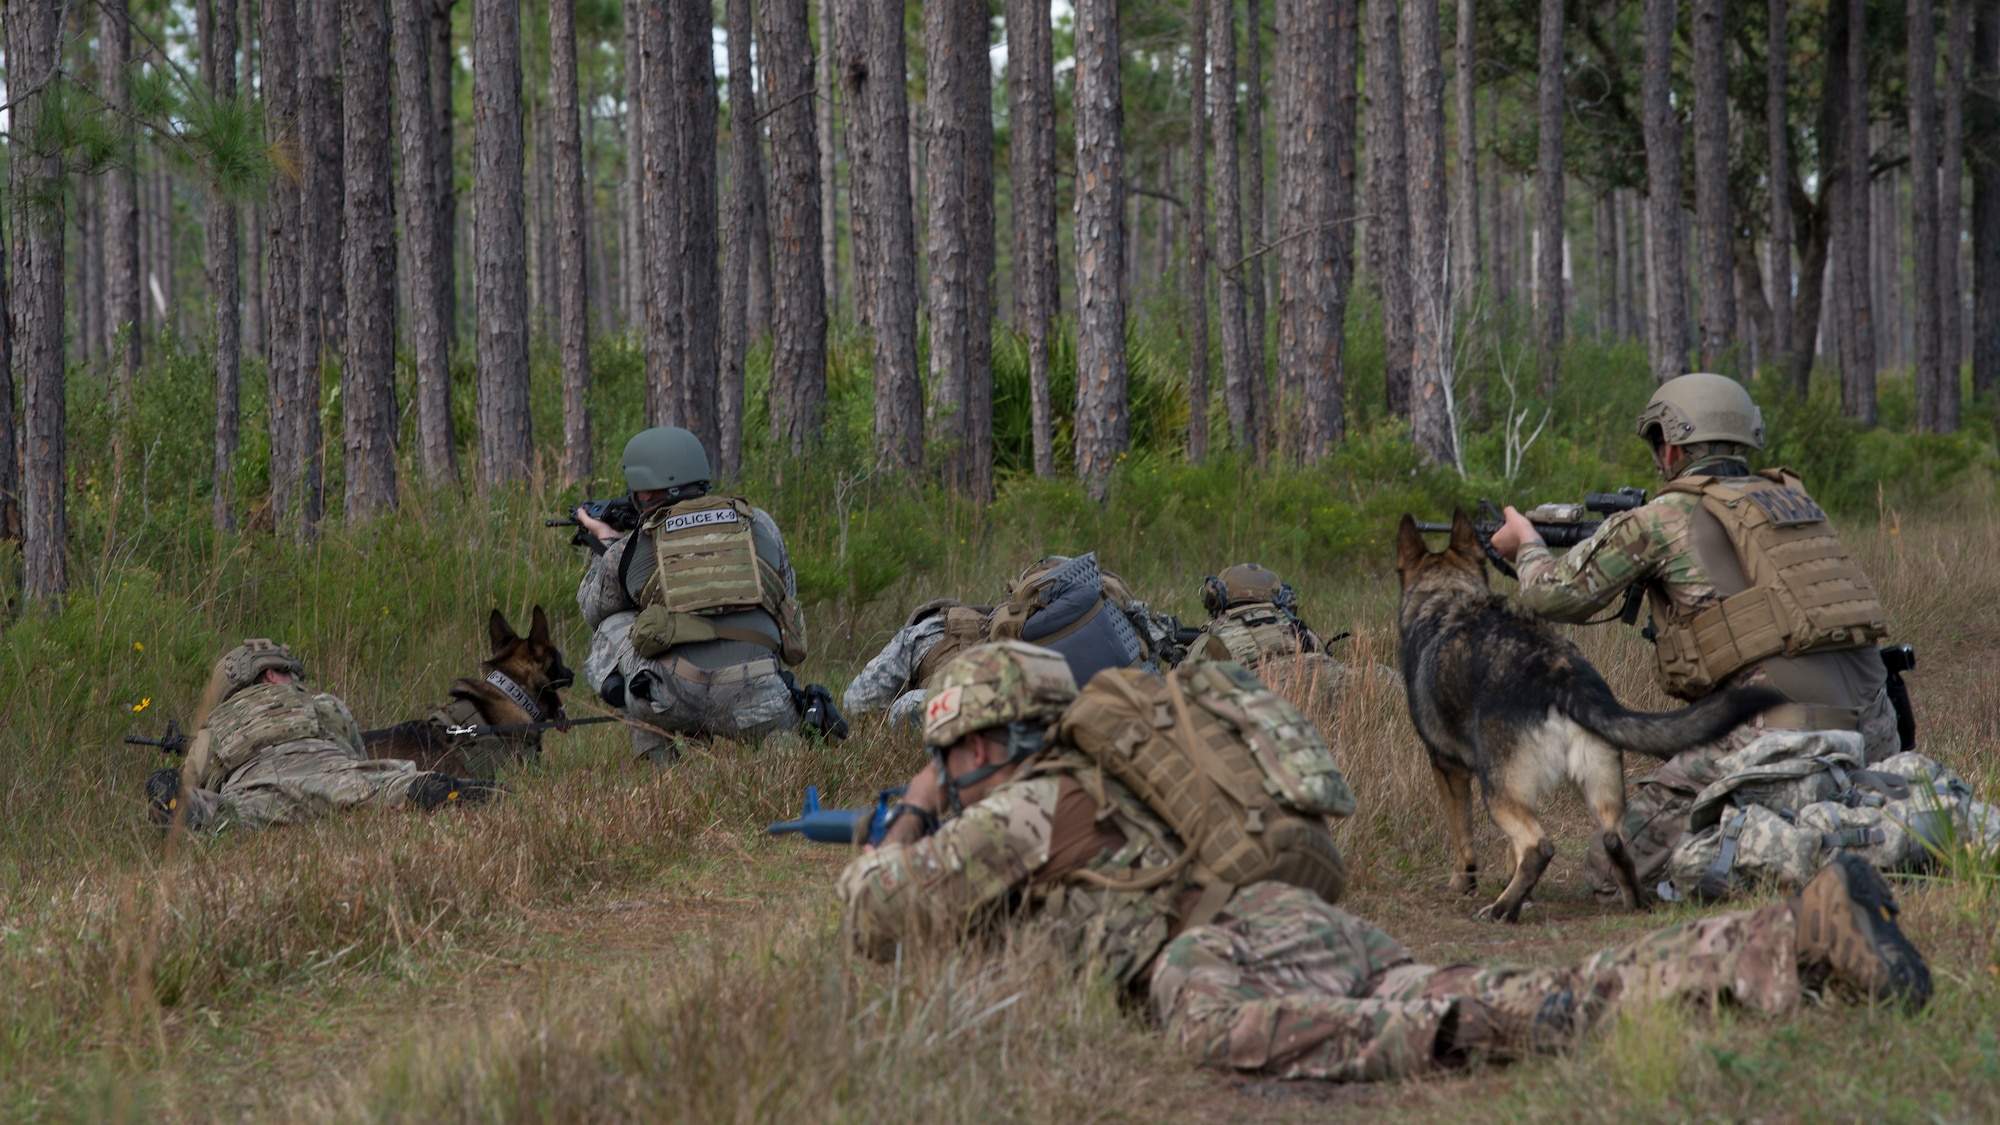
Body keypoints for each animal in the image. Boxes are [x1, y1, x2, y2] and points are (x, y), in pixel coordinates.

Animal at [1392, 508, 1784, 920]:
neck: (1448, 595)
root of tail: (1561, 679)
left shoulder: (1446, 766)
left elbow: (1462, 836)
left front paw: (1463, 883)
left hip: (1498, 789)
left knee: (1538, 846)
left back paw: (1502, 910)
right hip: (1600, 782)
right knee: (1613, 842)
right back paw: (1631, 901)